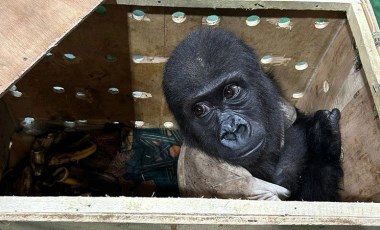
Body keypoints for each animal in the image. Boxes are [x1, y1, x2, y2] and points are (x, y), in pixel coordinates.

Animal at [162, 27, 342, 200]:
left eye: (230, 91)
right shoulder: (218, 175)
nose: (232, 129)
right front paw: (323, 144)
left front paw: (323, 140)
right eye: (199, 109)